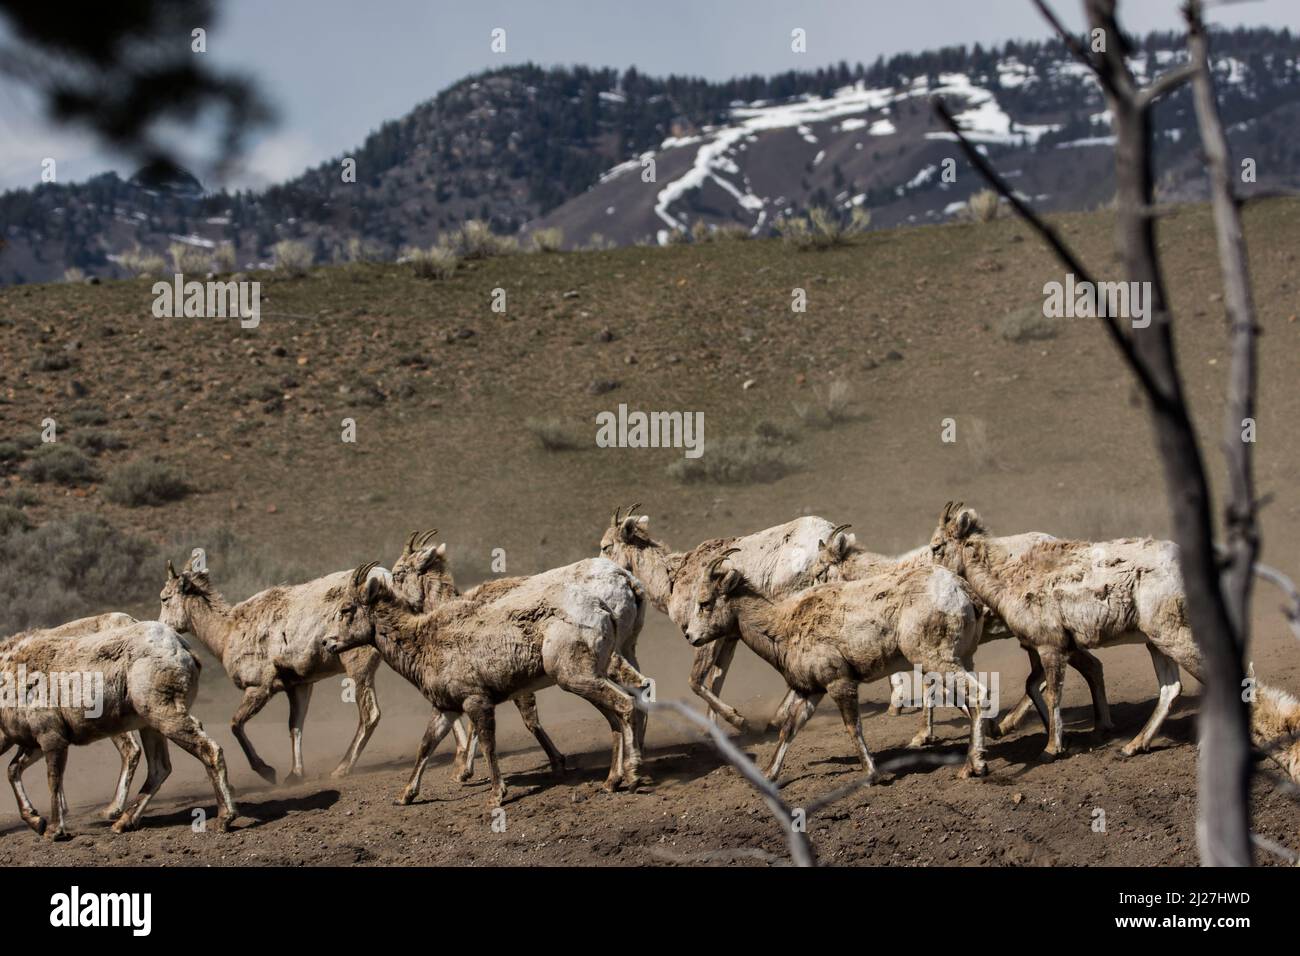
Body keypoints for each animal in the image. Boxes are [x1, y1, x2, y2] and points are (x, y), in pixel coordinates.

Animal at [0, 621, 237, 837]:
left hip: (165, 716)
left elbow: (53, 781)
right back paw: (123, 822)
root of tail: (185, 650)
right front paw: (35, 820)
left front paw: (53, 830)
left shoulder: (52, 738)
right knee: (159, 768)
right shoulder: (35, 744)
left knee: (209, 751)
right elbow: (13, 770)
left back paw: (224, 819)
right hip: (150, 725)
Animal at [325, 556, 650, 806]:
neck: (425, 641)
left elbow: (487, 745)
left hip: (578, 677)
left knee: (626, 705)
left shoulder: (477, 702)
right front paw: (405, 796)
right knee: (618, 715)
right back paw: (612, 782)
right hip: (588, 678)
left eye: (347, 609)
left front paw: (496, 795)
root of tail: (602, 609)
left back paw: (633, 776)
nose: (328, 642)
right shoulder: (445, 708)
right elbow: (426, 745)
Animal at [681, 548, 982, 780]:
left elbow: (853, 727)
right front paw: (769, 775)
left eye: (705, 603)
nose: (690, 636)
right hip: (960, 660)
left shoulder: (840, 683)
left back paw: (972, 767)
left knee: (977, 696)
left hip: (936, 660)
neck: (783, 627)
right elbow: (788, 729)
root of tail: (961, 591)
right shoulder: (810, 691)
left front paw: (872, 773)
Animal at [930, 504, 1300, 775]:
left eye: (937, 547)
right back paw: (1132, 747)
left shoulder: (1050, 647)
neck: (1012, 576)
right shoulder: (1058, 647)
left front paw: (1051, 749)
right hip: (1157, 642)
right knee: (1171, 689)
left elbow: (1051, 695)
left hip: (1175, 637)